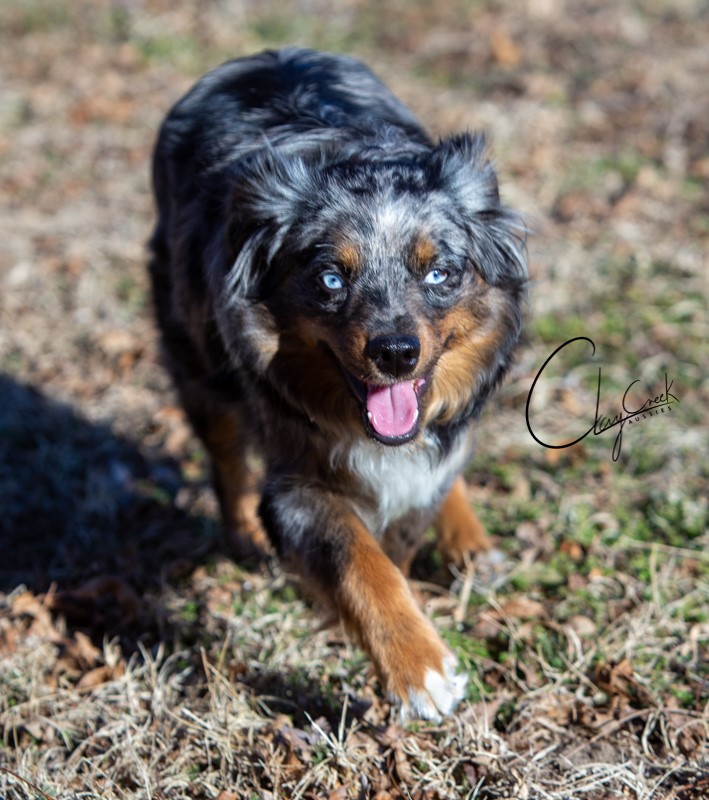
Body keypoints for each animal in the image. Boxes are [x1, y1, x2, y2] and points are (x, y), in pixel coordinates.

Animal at [149, 45, 524, 720]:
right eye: (330, 279)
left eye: (439, 273)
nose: (396, 353)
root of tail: (268, 53)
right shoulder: (297, 481)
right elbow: (359, 561)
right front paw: (421, 669)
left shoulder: (419, 465)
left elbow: (400, 537)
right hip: (192, 345)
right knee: (224, 452)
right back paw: (244, 537)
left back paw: (471, 541)